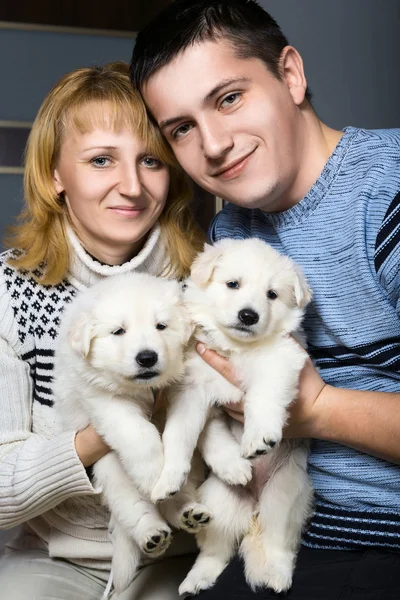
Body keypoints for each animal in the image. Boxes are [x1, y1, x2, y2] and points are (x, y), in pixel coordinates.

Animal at [52, 274, 209, 592]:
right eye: (118, 331)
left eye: (161, 326)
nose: (147, 358)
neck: (141, 389)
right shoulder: (103, 400)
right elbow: (140, 434)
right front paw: (153, 473)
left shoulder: (181, 387)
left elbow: (180, 429)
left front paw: (167, 473)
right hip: (112, 472)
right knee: (133, 506)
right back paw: (152, 532)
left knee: (176, 498)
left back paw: (187, 512)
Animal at [152, 239, 314, 596]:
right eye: (233, 284)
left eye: (272, 294)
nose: (248, 315)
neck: (235, 348)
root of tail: (253, 508)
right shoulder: (191, 391)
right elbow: (179, 434)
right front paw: (169, 477)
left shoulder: (280, 359)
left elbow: (262, 397)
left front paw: (257, 438)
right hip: (219, 501)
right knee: (216, 550)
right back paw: (197, 578)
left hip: (285, 496)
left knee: (278, 543)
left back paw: (276, 575)